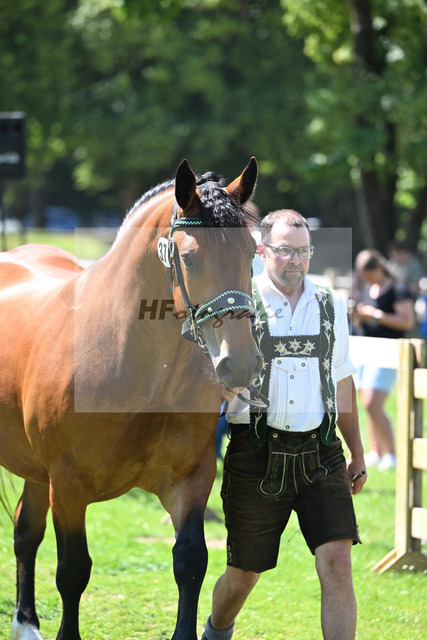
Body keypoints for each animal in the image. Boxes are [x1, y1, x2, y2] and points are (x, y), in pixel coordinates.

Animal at [0, 157, 262, 640]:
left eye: (252, 253)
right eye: (190, 257)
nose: (240, 363)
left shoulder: (191, 478)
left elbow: (190, 561)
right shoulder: (69, 486)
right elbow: (73, 571)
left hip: (36, 470)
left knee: (26, 530)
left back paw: (26, 623)